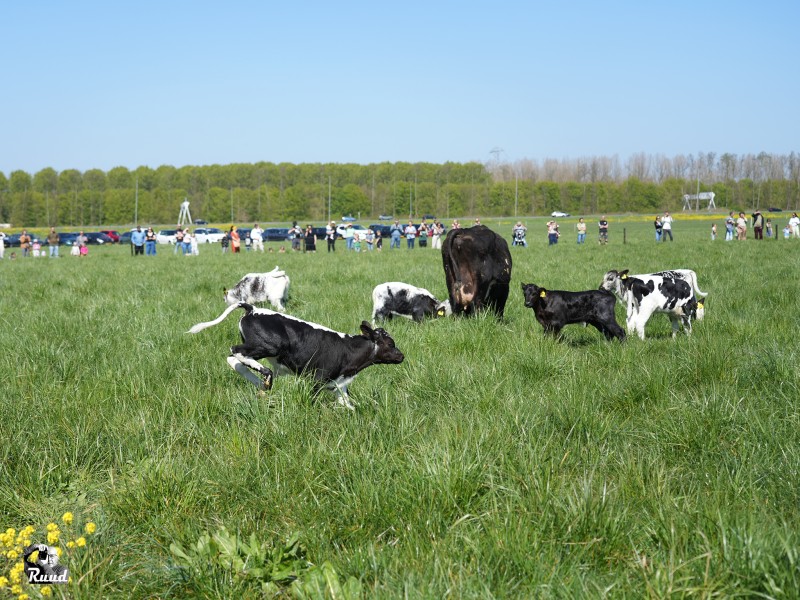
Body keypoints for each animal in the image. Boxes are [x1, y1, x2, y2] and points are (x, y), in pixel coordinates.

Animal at [188, 302, 404, 409]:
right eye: (390, 344)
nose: (401, 356)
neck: (348, 350)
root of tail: (253, 309)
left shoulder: (338, 386)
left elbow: (352, 407)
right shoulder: (317, 380)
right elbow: (311, 400)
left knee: (233, 358)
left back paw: (261, 385)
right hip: (268, 346)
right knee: (235, 350)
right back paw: (266, 378)